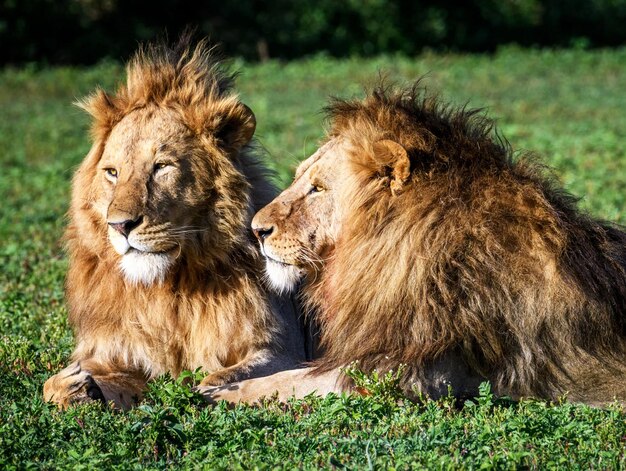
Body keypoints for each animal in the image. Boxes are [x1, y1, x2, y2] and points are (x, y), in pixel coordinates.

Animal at [42, 37, 308, 410]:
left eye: (161, 166)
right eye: (112, 172)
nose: (120, 225)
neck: (169, 289)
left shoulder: (283, 348)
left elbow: (221, 376)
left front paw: (207, 392)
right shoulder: (119, 349)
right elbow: (53, 385)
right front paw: (76, 388)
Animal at [201, 83, 626, 408]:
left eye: (318, 188)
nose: (256, 230)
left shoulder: (418, 374)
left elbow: (290, 382)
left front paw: (217, 395)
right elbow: (291, 371)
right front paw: (214, 380)